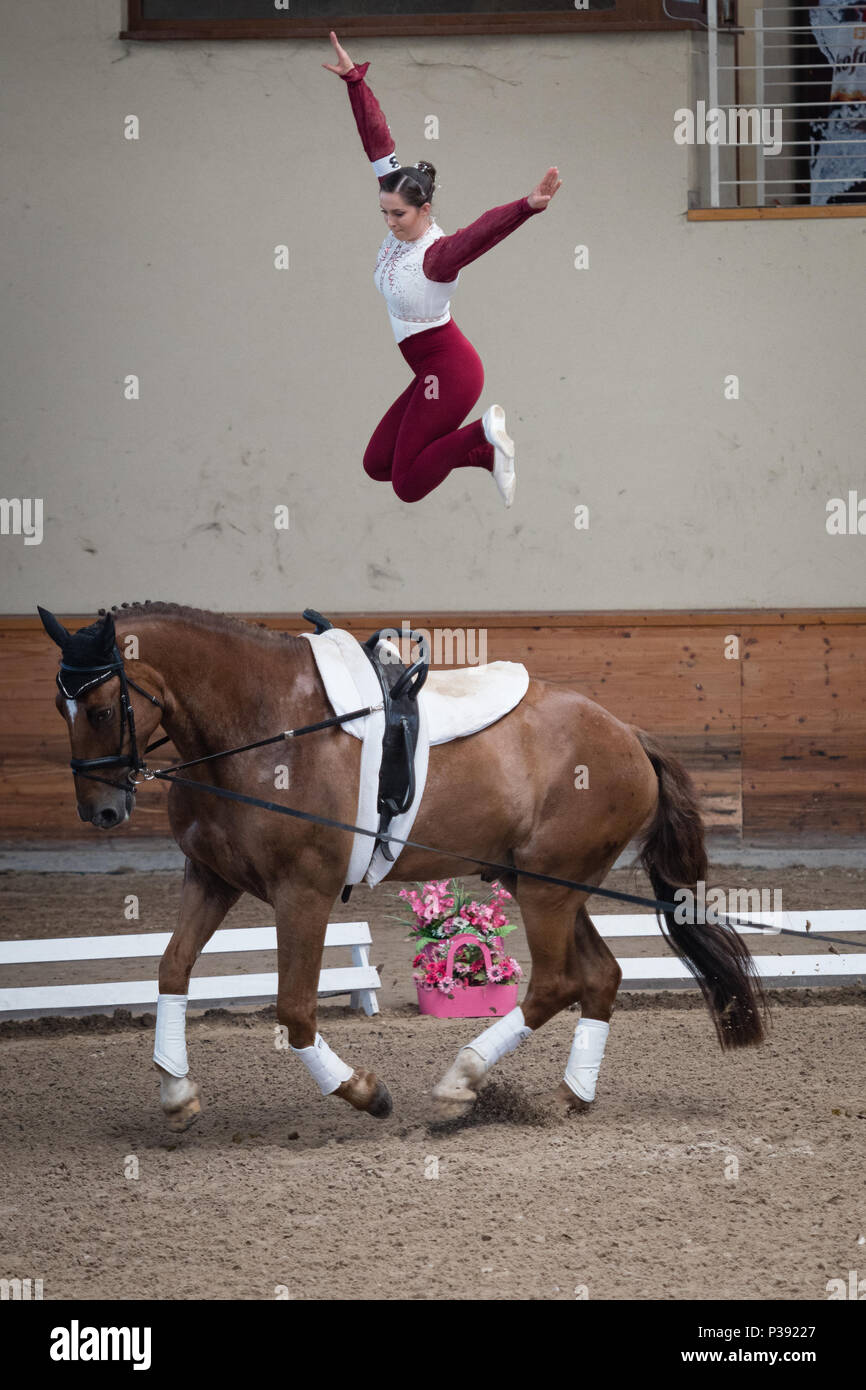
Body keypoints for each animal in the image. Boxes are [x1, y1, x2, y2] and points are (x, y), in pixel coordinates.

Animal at [40, 606, 767, 1128]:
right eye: (59, 708)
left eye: (100, 709)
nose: (100, 811)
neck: (260, 727)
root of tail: (630, 735)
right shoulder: (212, 878)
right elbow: (171, 969)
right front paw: (176, 1092)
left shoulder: (304, 891)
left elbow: (294, 1009)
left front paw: (365, 1093)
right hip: (543, 882)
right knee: (600, 975)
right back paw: (569, 1096)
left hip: (545, 888)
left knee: (558, 982)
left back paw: (460, 1082)